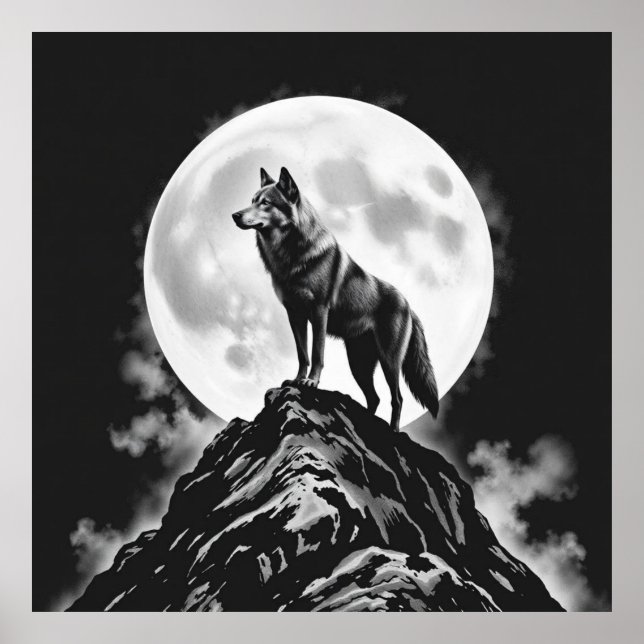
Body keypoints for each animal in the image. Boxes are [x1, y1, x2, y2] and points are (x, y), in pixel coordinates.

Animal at [232, 167, 439, 431]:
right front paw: (298, 380)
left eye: (266, 203)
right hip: (359, 365)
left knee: (397, 398)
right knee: (375, 398)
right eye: (252, 201)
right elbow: (303, 354)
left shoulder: (319, 312)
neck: (292, 256)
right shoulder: (294, 314)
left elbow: (317, 353)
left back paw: (392, 431)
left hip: (389, 362)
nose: (235, 215)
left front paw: (311, 382)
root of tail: (409, 306)